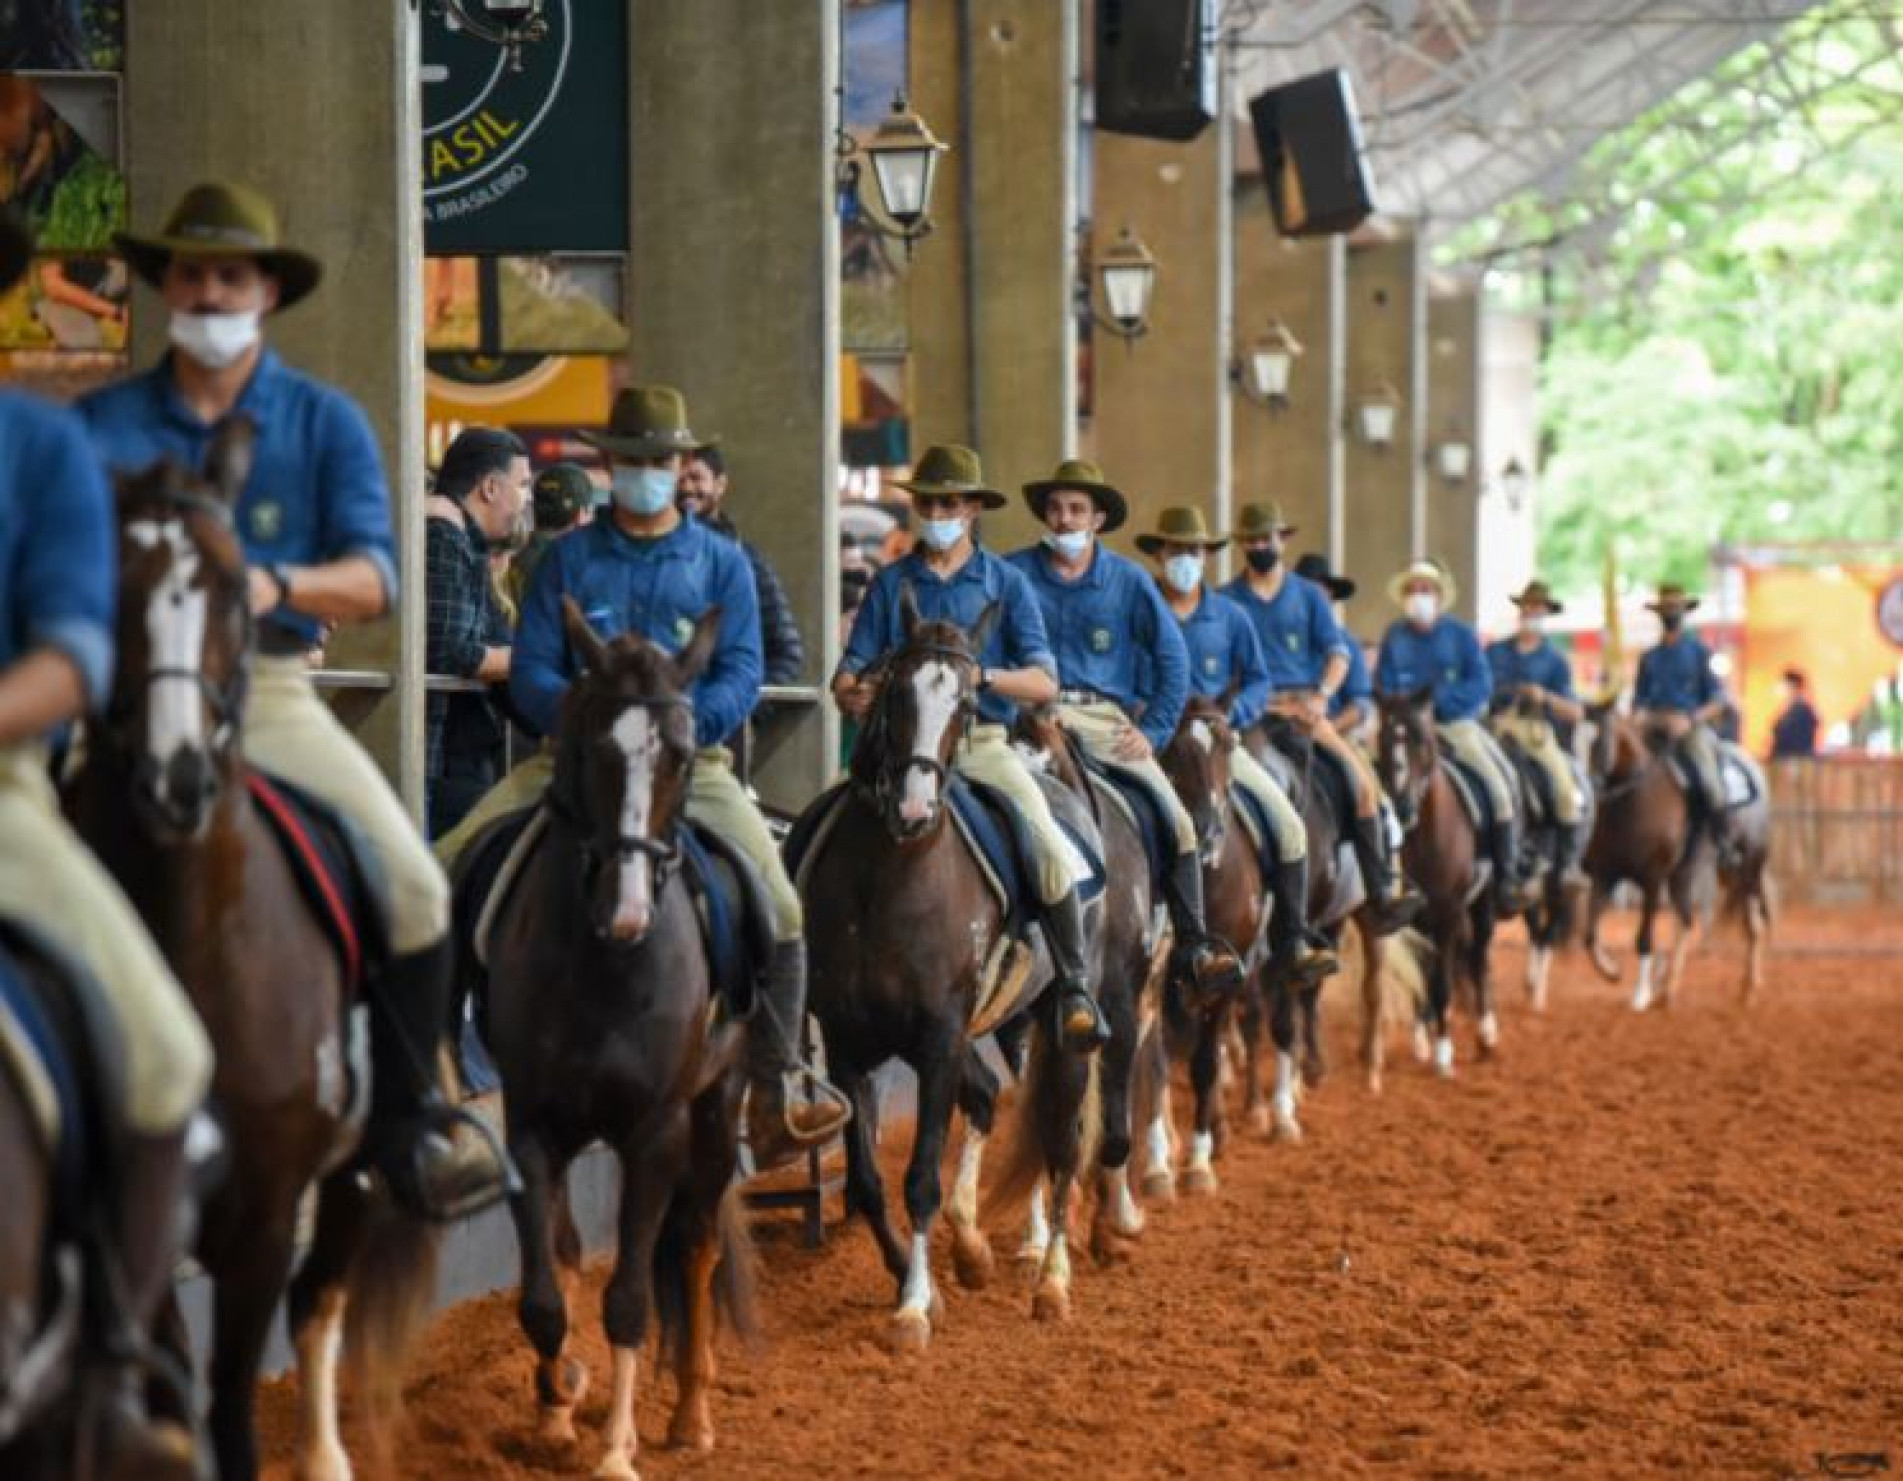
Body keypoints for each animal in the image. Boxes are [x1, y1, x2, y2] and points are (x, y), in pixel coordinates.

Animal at [474, 600, 757, 1476]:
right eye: (597, 747)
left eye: (680, 753)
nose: (628, 909)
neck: (607, 963)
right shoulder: (531, 1124)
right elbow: (542, 1292)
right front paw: (557, 1405)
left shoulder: (656, 1130)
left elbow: (631, 1297)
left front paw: (616, 1450)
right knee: (570, 1248)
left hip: (716, 1104)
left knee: (695, 1243)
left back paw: (691, 1414)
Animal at [800, 592, 1098, 1346]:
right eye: (894, 692)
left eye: (964, 703)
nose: (913, 808)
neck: (890, 878)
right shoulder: (848, 1044)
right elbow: (867, 1181)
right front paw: (922, 1283)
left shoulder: (937, 1037)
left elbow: (919, 1180)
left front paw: (911, 1306)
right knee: (993, 1097)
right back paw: (973, 1250)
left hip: (1062, 1024)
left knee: (1061, 1137)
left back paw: (1053, 1283)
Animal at [1372, 690, 1501, 1077]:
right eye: (1383, 739)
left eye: (1422, 741)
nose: (1402, 805)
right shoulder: (1409, 921)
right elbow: (1420, 977)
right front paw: (1422, 1041)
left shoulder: (1449, 916)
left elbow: (1443, 982)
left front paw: (1444, 1054)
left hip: (1483, 905)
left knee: (1478, 957)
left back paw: (1486, 1035)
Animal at [1583, 704, 1774, 1008]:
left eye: (1599, 741)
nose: (1590, 785)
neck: (1634, 801)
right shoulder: (1605, 876)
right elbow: (1589, 936)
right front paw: (1613, 972)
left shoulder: (1652, 879)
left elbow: (1644, 938)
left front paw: (1640, 995)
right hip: (1703, 874)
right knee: (1690, 921)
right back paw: (1671, 987)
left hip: (1748, 866)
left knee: (1751, 924)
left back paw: (1748, 988)